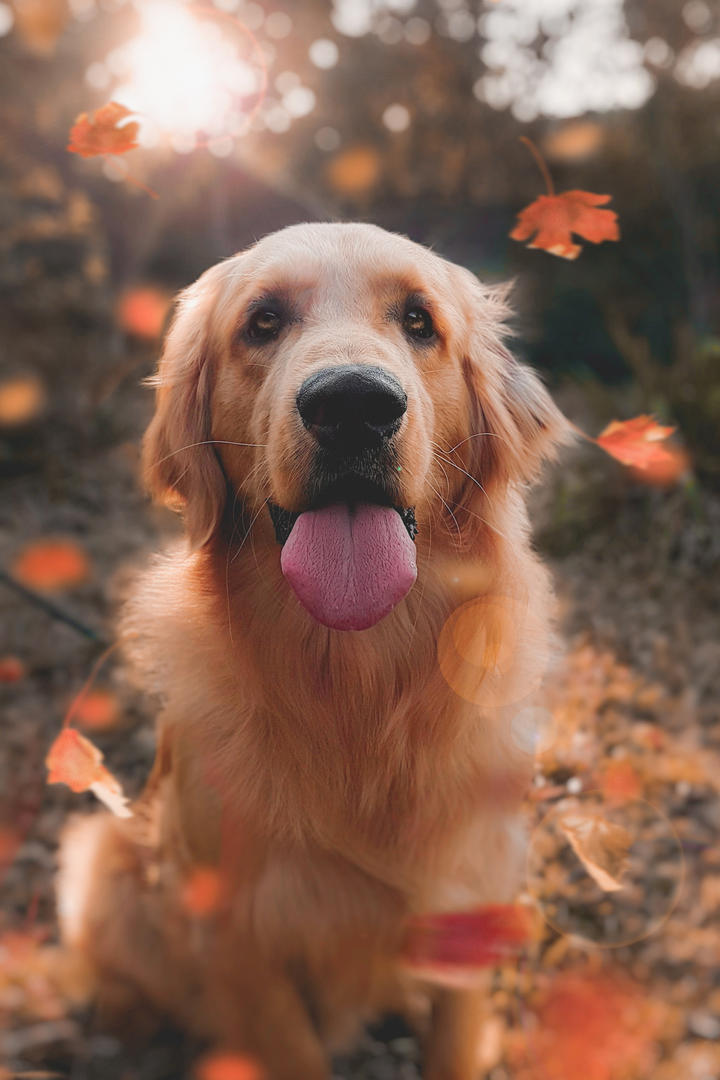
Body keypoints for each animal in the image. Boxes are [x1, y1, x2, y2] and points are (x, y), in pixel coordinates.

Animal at [57, 223, 569, 1075]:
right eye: (262, 322)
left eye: (419, 320)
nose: (354, 404)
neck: (356, 691)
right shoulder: (241, 939)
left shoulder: (473, 895)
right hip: (108, 856)